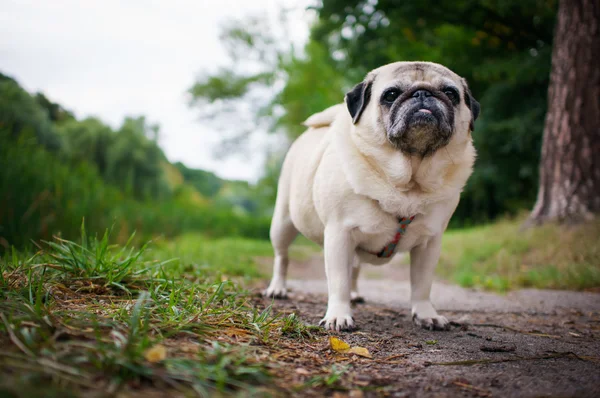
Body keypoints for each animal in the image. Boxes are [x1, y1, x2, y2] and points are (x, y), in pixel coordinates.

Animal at [262, 60, 478, 332]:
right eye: (391, 94)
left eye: (451, 93)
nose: (423, 93)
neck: (408, 183)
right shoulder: (339, 234)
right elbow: (338, 281)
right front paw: (338, 315)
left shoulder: (429, 243)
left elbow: (422, 284)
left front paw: (426, 313)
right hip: (283, 223)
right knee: (282, 257)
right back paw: (277, 288)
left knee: (354, 268)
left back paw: (355, 294)